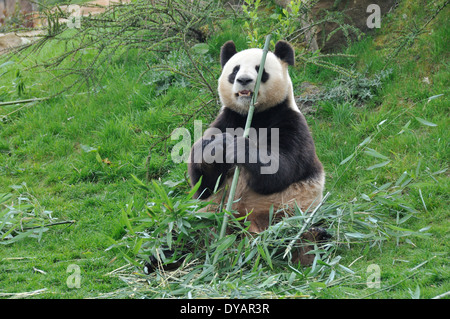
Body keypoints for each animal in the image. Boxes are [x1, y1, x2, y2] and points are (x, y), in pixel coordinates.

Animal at [186, 40, 330, 264]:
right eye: (234, 70)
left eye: (259, 70)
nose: (243, 80)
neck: (254, 115)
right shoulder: (227, 119)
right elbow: (204, 185)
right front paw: (214, 149)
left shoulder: (290, 123)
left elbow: (280, 169)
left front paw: (238, 148)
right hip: (205, 216)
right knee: (180, 234)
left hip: (288, 212)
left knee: (296, 237)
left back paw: (310, 241)